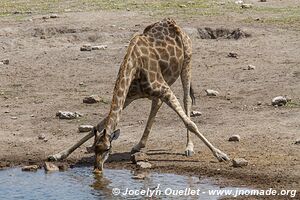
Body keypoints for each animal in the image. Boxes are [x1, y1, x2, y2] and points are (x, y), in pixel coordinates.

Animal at [48, 18, 229, 173]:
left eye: (108, 149)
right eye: (94, 149)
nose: (97, 169)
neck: (134, 66)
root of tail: (175, 24)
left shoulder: (164, 89)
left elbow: (190, 123)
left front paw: (221, 155)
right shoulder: (129, 96)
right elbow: (100, 123)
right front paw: (58, 154)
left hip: (187, 62)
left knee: (187, 99)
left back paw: (188, 147)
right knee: (156, 104)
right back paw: (139, 145)